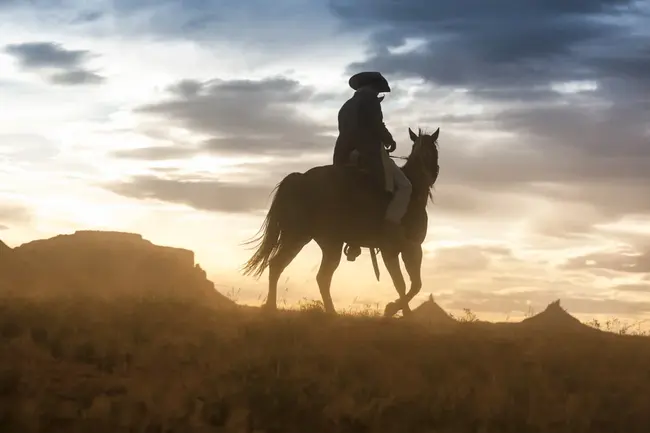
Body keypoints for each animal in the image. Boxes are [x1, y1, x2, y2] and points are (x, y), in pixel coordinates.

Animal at [240, 126, 438, 316]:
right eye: (421, 149)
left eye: (434, 148)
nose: (430, 173)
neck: (413, 193)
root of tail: (300, 178)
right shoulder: (398, 248)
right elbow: (405, 284)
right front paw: (395, 311)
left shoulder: (406, 248)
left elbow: (410, 284)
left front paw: (401, 312)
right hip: (306, 239)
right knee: (293, 269)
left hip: (316, 241)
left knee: (300, 271)